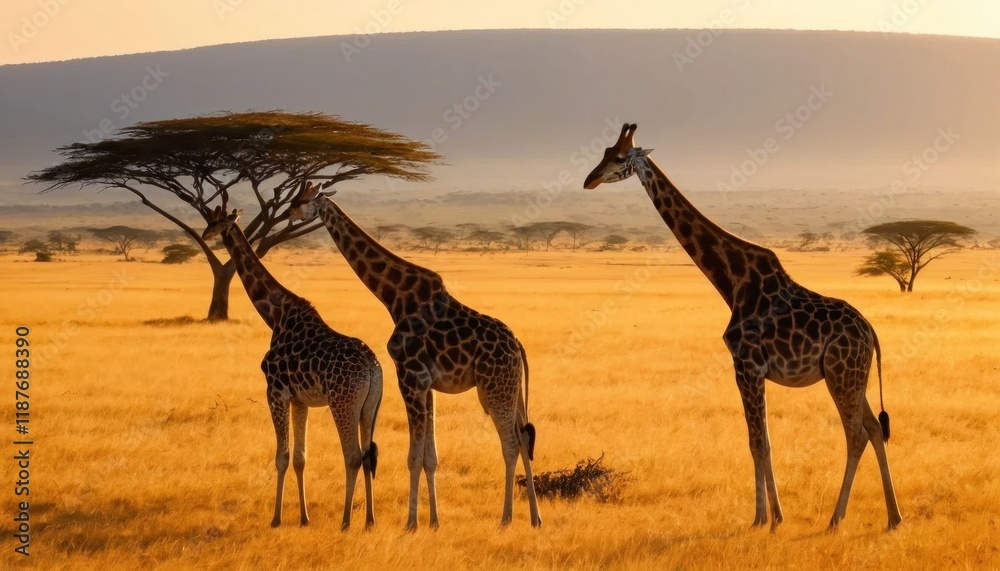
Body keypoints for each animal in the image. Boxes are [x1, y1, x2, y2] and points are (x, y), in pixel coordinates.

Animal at [201, 205, 383, 531]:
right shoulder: (301, 400)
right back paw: (370, 521)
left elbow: (282, 457)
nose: (204, 233)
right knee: (368, 456)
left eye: (217, 221)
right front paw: (303, 518)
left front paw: (275, 518)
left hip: (343, 403)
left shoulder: (275, 392)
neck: (275, 315)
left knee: (352, 457)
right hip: (369, 407)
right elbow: (300, 458)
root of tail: (372, 368)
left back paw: (346, 521)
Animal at [287, 183, 542, 530]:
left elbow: (413, 456)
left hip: (494, 388)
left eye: (302, 199)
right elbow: (429, 457)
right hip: (510, 389)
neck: (395, 298)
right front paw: (433, 521)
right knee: (524, 437)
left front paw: (411, 523)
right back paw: (535, 518)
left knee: (511, 443)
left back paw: (506, 518)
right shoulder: (427, 385)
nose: (288, 214)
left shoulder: (409, 377)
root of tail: (517, 344)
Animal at [583, 124, 901, 531]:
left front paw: (762, 518)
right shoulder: (753, 370)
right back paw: (893, 517)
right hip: (851, 376)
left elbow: (757, 442)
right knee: (876, 429)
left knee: (856, 435)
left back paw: (836, 518)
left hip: (842, 375)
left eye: (620, 158)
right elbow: (763, 441)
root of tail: (871, 333)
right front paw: (774, 516)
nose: (590, 179)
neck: (732, 281)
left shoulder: (746, 365)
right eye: (605, 152)